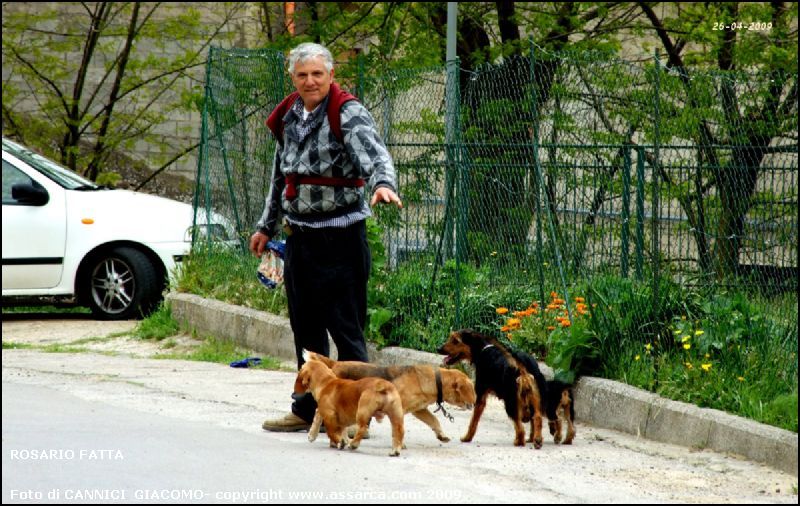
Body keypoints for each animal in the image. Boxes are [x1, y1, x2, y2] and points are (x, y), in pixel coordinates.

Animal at [304, 350, 472, 440]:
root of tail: (335, 364)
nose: (474, 403)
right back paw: (313, 434)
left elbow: (434, 421)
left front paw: (442, 435)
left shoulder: (419, 410)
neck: (434, 379)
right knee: (318, 411)